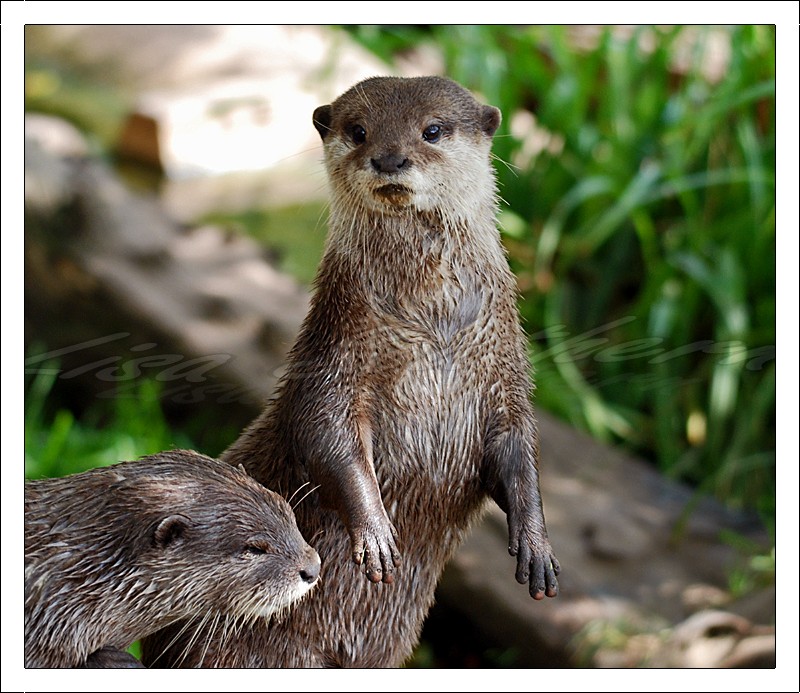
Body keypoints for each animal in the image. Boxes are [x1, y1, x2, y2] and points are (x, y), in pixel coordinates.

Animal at [143, 75, 559, 668]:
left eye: (433, 130)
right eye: (359, 130)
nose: (389, 158)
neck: (433, 331)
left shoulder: (504, 371)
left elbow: (518, 450)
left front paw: (536, 544)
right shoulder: (337, 355)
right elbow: (328, 435)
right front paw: (377, 532)